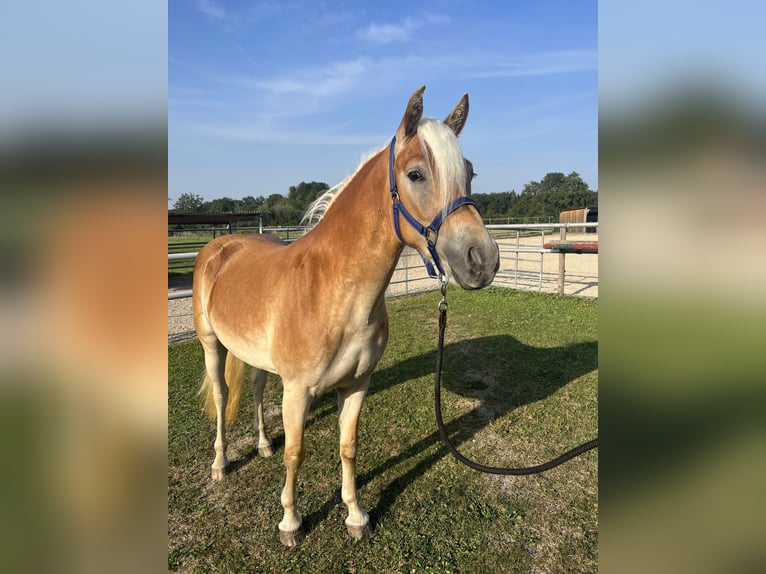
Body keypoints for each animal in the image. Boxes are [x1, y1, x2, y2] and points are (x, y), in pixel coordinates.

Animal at [195, 86, 500, 548]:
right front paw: (290, 522)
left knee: (257, 390)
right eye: (415, 174)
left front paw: (356, 515)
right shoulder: (298, 390)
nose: (482, 260)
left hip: (256, 357)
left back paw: (262, 446)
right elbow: (296, 453)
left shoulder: (357, 384)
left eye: (470, 172)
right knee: (220, 394)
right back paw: (220, 464)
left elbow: (348, 446)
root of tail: (220, 247)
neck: (332, 292)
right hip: (212, 345)